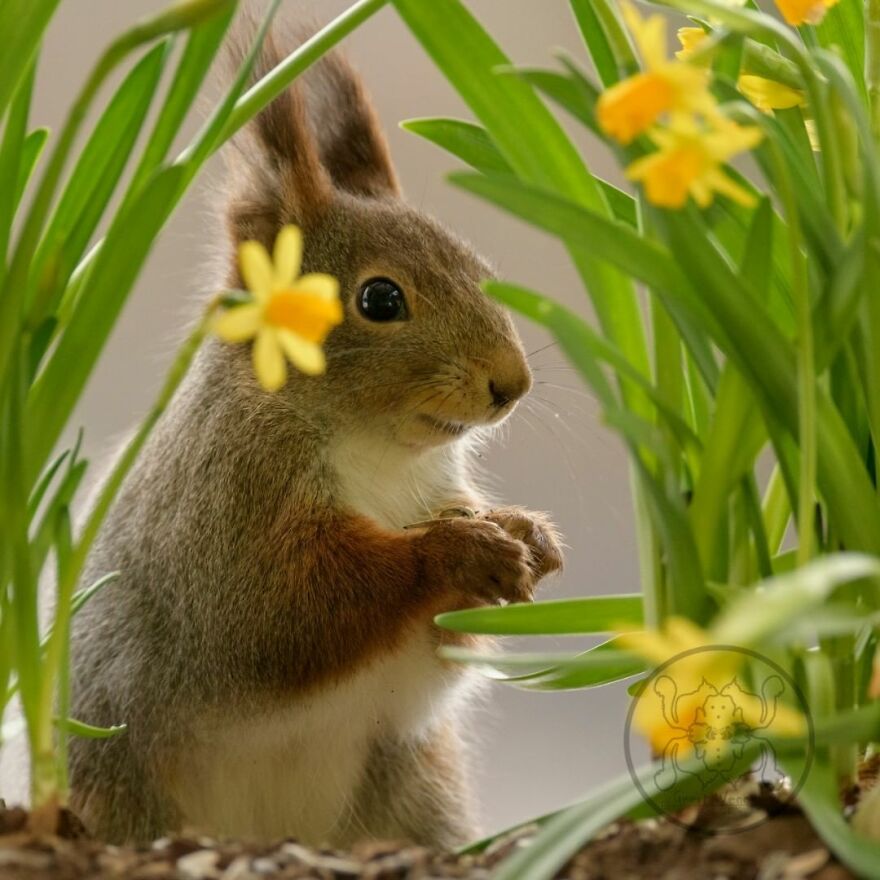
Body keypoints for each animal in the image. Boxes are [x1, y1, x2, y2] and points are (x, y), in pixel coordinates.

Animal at [68, 29, 563, 850]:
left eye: (479, 269)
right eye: (380, 299)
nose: (511, 384)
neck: (378, 453)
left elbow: (437, 654)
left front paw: (529, 536)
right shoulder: (219, 515)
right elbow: (289, 610)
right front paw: (458, 551)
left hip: (411, 788)